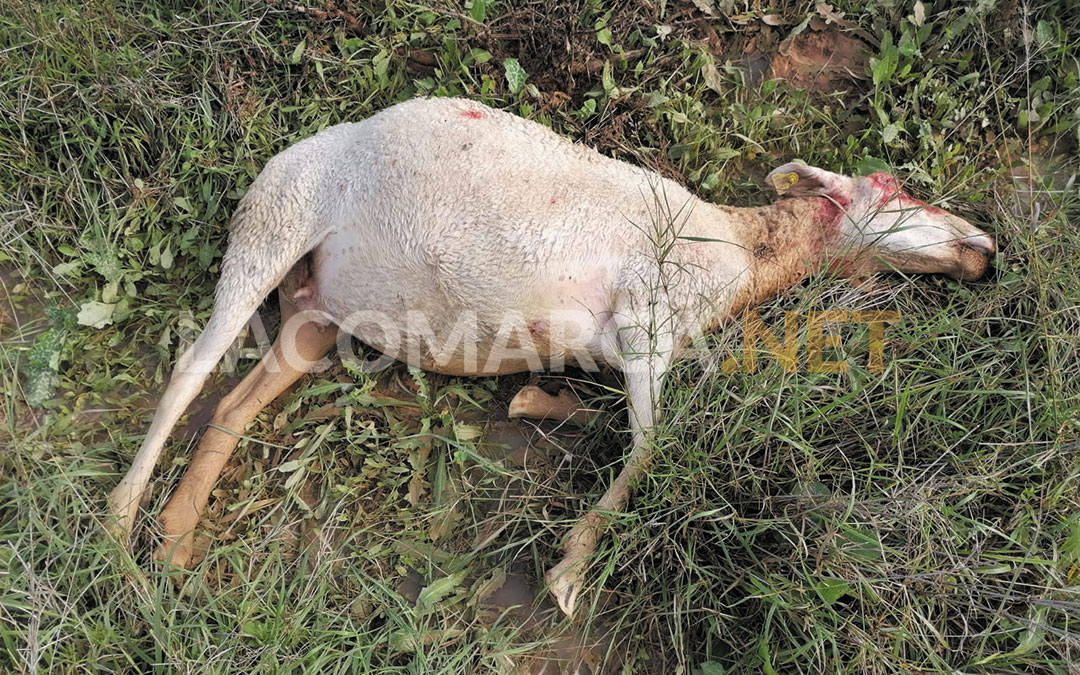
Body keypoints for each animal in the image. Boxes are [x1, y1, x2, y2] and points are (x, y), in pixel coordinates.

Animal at [106, 97, 995, 617]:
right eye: (896, 188)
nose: (985, 250)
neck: (744, 255)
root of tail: (297, 148)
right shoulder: (646, 318)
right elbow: (649, 446)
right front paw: (570, 574)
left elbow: (592, 415)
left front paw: (537, 403)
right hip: (275, 220)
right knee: (190, 371)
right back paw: (120, 525)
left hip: (314, 316)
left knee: (234, 401)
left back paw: (174, 539)